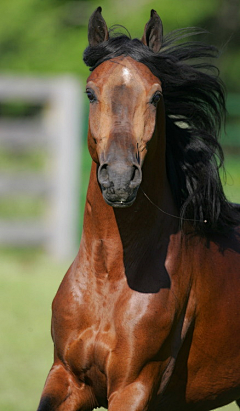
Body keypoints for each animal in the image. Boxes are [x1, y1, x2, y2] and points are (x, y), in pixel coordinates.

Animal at [37, 6, 240, 411]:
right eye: (90, 93)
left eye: (157, 95)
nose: (119, 179)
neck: (110, 278)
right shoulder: (66, 376)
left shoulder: (133, 386)